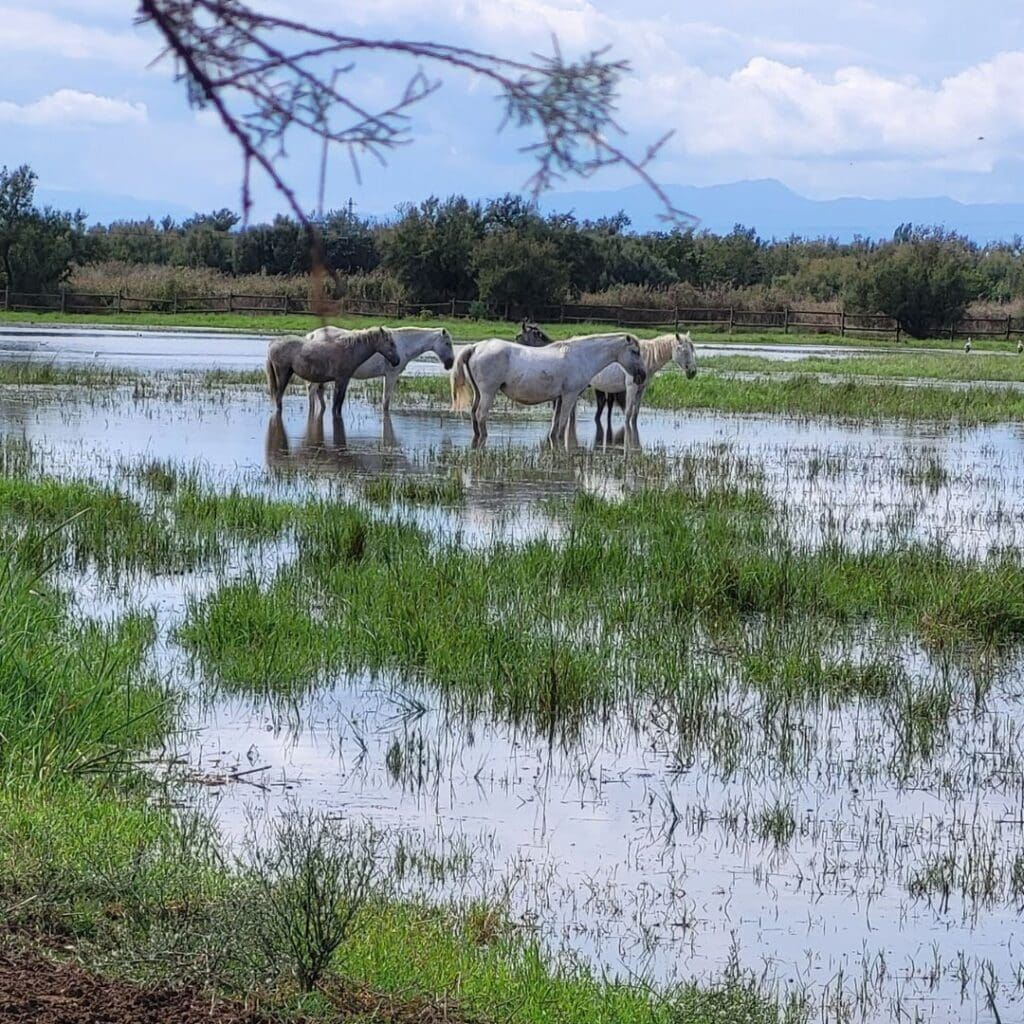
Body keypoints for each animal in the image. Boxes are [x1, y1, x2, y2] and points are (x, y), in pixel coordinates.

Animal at [264, 327, 399, 415]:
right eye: (391, 343)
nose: (397, 361)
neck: (349, 350)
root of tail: (273, 343)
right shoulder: (340, 380)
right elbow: (336, 402)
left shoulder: (345, 381)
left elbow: (339, 402)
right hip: (283, 374)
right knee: (278, 397)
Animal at [303, 323, 456, 411]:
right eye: (447, 343)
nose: (450, 363)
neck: (403, 344)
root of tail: (312, 336)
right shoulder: (391, 375)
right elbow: (386, 401)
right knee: (312, 391)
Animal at [450, 333, 643, 442]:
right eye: (635, 352)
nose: (642, 375)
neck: (582, 356)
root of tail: (475, 347)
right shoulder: (569, 396)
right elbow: (563, 424)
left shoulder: (559, 398)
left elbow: (555, 423)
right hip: (488, 393)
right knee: (481, 416)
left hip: (479, 393)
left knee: (474, 414)